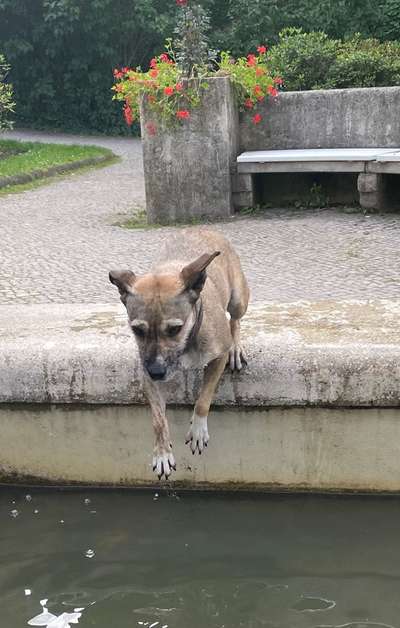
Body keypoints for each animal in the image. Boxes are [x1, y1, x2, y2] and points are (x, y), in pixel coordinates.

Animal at [108, 228, 248, 478]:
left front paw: (198, 430)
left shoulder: (217, 358)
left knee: (236, 319)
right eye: (137, 330)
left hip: (238, 299)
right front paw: (162, 452)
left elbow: (203, 399)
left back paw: (236, 346)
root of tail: (203, 227)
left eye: (174, 328)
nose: (156, 371)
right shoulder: (147, 377)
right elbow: (158, 419)